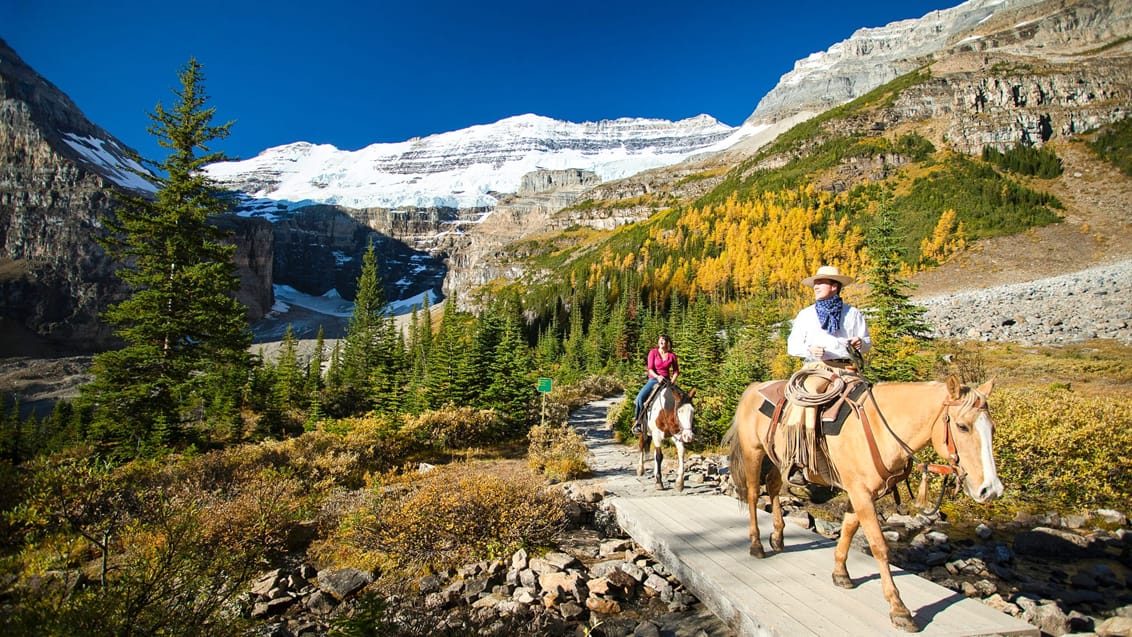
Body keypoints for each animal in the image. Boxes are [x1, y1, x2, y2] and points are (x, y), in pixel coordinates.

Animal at [724, 375, 1000, 629]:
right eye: (962, 426)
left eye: (993, 429)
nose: (991, 489)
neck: (880, 428)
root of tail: (754, 386)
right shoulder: (861, 493)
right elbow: (879, 545)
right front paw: (899, 609)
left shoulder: (862, 492)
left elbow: (848, 528)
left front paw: (841, 574)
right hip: (753, 452)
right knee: (752, 494)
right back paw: (757, 545)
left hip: (777, 458)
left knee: (772, 486)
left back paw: (779, 538)